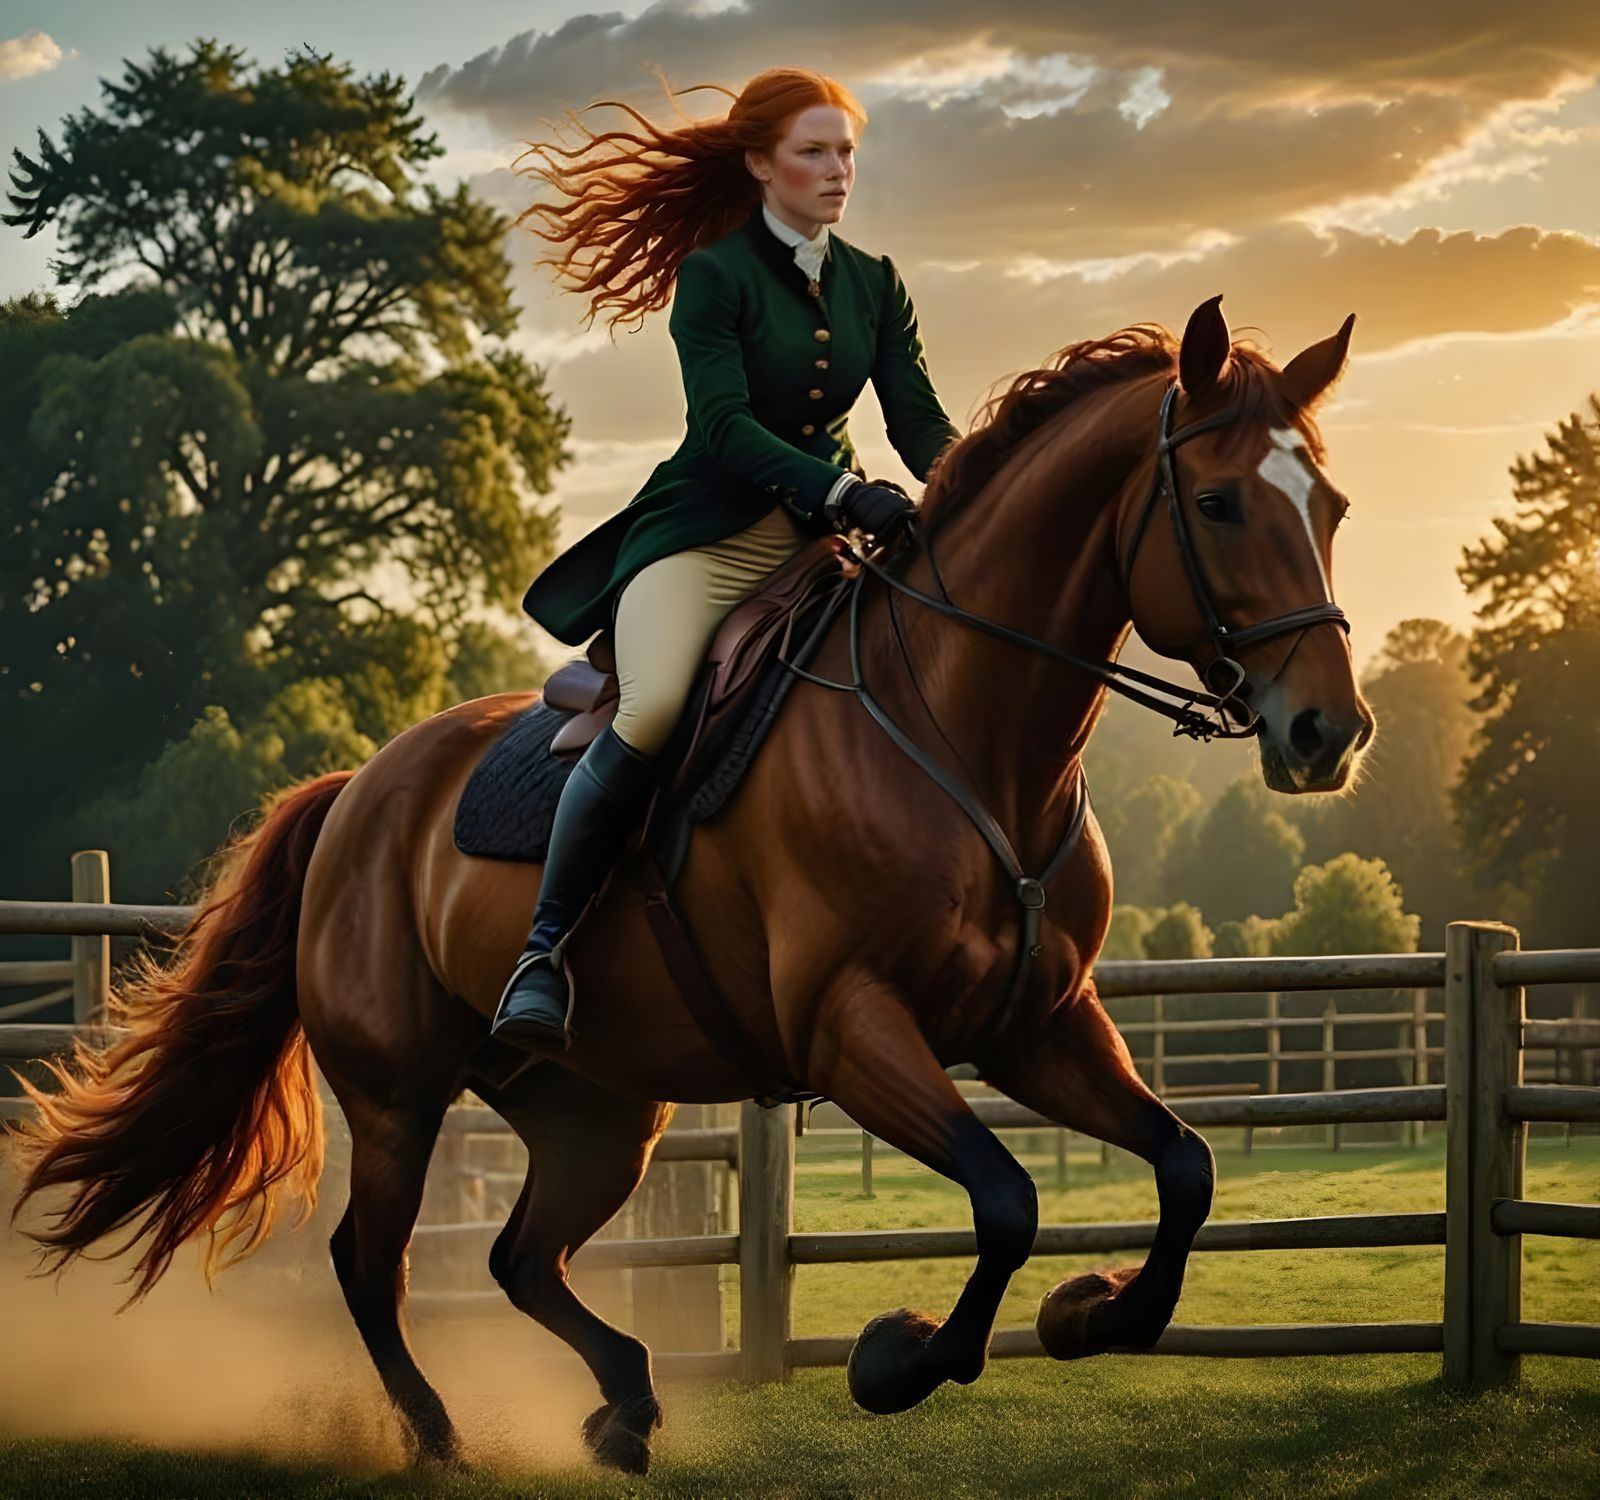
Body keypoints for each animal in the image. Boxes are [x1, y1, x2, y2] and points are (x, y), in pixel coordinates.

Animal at [8, 294, 1372, 1475]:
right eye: (1217, 502)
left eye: (1335, 506)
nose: (1327, 734)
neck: (965, 736)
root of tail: (357, 789)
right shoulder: (851, 1031)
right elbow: (1004, 1198)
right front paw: (898, 1359)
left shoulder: (1038, 1028)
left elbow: (1184, 1168)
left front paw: (1091, 1315)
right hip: (397, 1094)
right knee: (370, 1263)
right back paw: (441, 1436)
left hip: (598, 1111)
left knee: (518, 1260)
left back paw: (623, 1403)